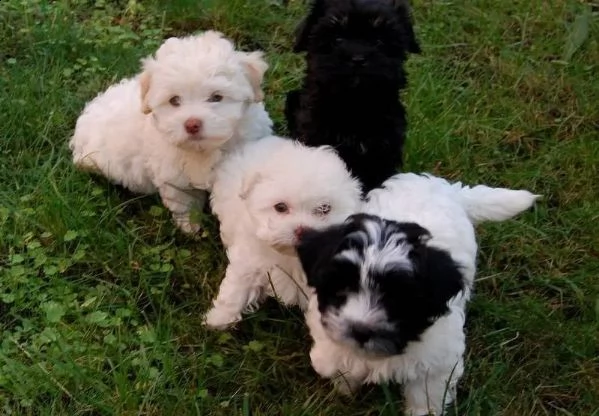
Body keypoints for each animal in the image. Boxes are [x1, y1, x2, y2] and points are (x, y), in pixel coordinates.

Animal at [69, 31, 272, 234]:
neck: (202, 150)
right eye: (174, 100)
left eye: (216, 97)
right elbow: (183, 202)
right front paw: (189, 227)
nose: (192, 124)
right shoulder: (173, 178)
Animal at [204, 136, 364, 328]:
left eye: (325, 209)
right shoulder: (249, 257)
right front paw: (219, 318)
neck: (292, 259)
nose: (303, 231)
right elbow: (238, 284)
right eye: (280, 207)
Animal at [298, 174, 540, 414]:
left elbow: (425, 394)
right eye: (341, 288)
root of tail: (447, 188)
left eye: (397, 297)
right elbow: (337, 364)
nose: (360, 330)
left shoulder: (436, 362)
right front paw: (345, 388)